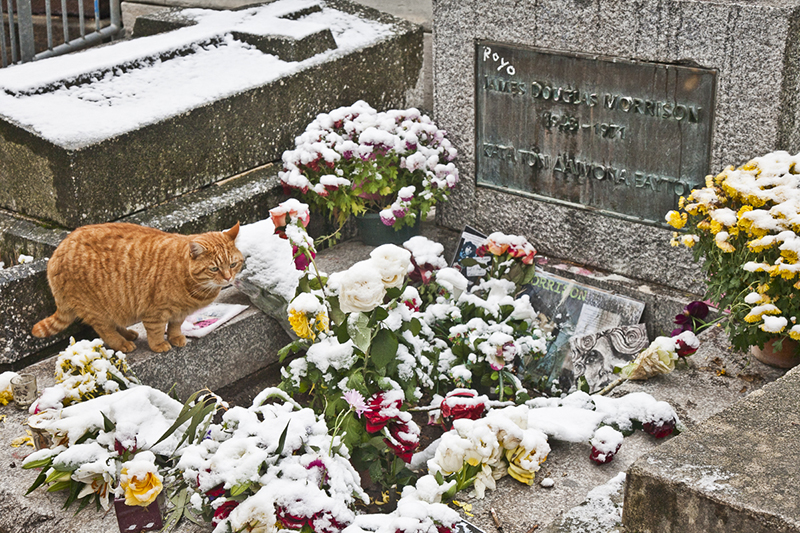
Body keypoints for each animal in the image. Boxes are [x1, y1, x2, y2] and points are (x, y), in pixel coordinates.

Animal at [32, 222, 243, 353]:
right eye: (214, 268)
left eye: (233, 264)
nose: (228, 277)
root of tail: (55, 253)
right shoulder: (154, 313)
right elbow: (156, 331)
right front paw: (159, 345)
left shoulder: (180, 312)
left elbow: (175, 326)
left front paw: (176, 338)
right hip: (95, 308)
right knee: (104, 330)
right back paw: (122, 343)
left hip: (115, 305)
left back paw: (129, 334)